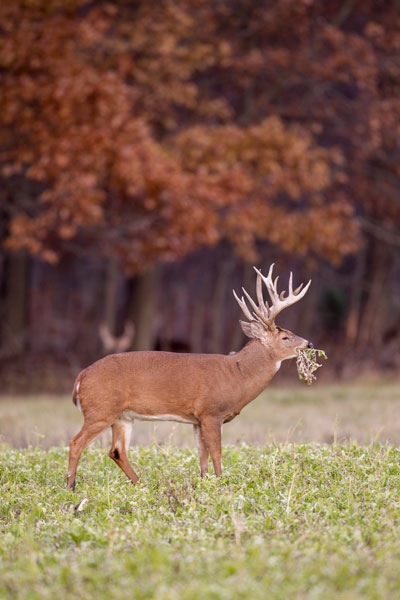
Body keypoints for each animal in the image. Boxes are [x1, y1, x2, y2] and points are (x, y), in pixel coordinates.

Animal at [68, 264, 312, 490]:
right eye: (285, 337)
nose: (309, 343)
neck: (237, 375)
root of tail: (81, 377)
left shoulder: (196, 419)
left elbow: (201, 453)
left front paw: (204, 482)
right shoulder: (211, 412)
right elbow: (216, 451)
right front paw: (221, 483)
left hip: (122, 417)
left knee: (117, 451)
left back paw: (140, 484)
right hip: (100, 410)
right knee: (76, 442)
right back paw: (71, 487)